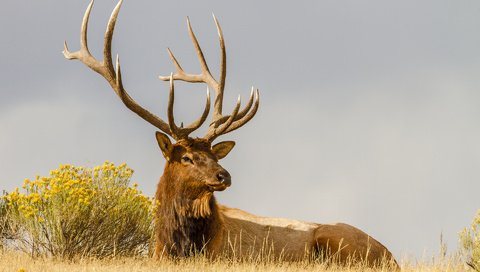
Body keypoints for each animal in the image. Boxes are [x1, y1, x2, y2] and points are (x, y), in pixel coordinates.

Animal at [64, 0, 398, 268]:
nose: (223, 175)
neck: (179, 245)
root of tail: (391, 256)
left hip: (335, 239)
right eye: (186, 157)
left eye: (213, 153)